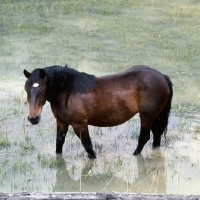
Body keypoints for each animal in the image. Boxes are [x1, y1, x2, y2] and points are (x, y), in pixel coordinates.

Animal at [23, 65, 173, 159]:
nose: (33, 118)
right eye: (26, 89)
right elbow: (59, 143)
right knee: (156, 135)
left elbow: (88, 146)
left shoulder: (80, 125)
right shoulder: (61, 122)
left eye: (43, 89)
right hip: (155, 116)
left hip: (147, 116)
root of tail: (161, 76)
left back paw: (134, 155)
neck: (68, 92)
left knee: (144, 137)